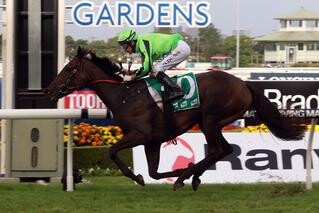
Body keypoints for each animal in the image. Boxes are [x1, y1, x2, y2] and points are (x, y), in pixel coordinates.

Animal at [43, 47, 306, 191]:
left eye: (69, 69)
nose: (48, 90)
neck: (125, 95)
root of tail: (243, 83)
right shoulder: (153, 141)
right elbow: (153, 172)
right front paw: (176, 169)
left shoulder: (140, 135)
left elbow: (112, 152)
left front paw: (139, 176)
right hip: (215, 123)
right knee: (224, 149)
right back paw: (192, 176)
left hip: (210, 120)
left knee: (216, 150)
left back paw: (184, 178)